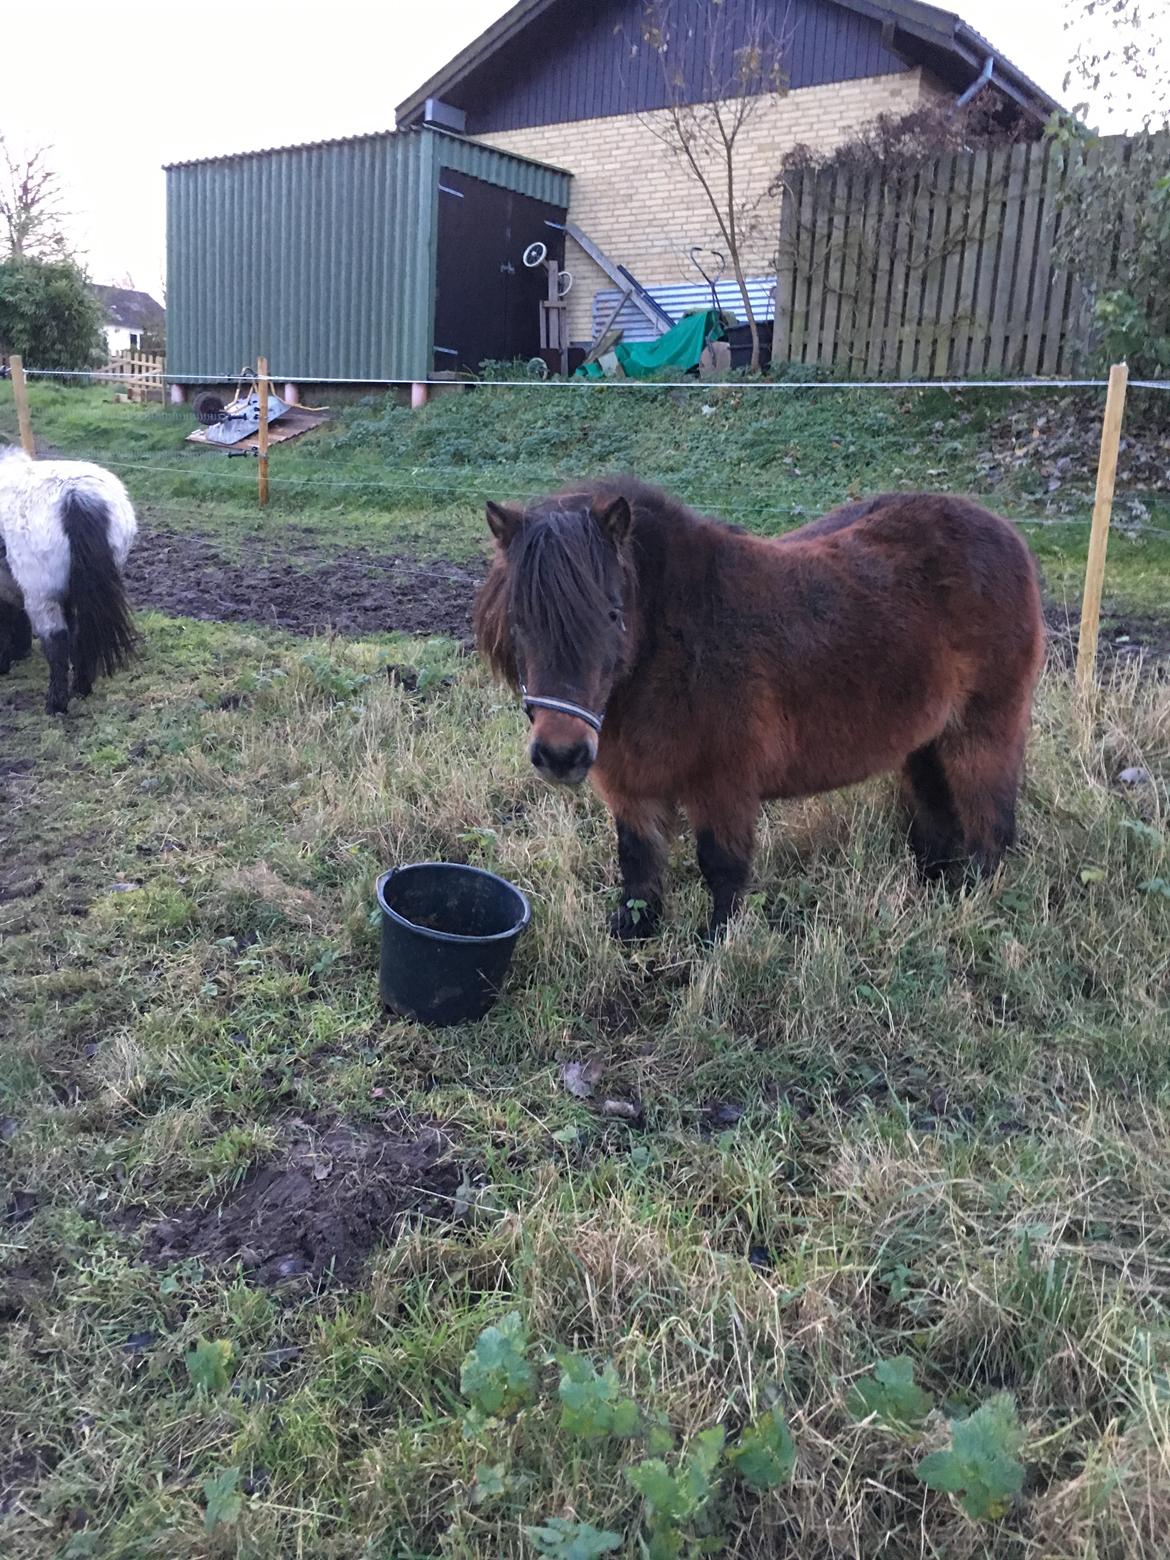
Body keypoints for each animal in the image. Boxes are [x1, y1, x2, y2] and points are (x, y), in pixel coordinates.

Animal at [0, 446, 138, 714]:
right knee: (82, 631)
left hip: (42, 595)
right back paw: (81, 688)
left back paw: (56, 704)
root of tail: (77, 497)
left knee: (57, 640)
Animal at [471, 477, 1048, 935]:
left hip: (983, 734)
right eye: (519, 619)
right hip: (925, 744)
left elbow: (722, 868)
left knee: (991, 825)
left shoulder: (723, 786)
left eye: (613, 614)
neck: (673, 645)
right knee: (936, 821)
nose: (561, 754)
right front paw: (634, 936)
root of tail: (1006, 533)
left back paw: (974, 900)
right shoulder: (633, 788)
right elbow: (638, 867)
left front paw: (716, 947)